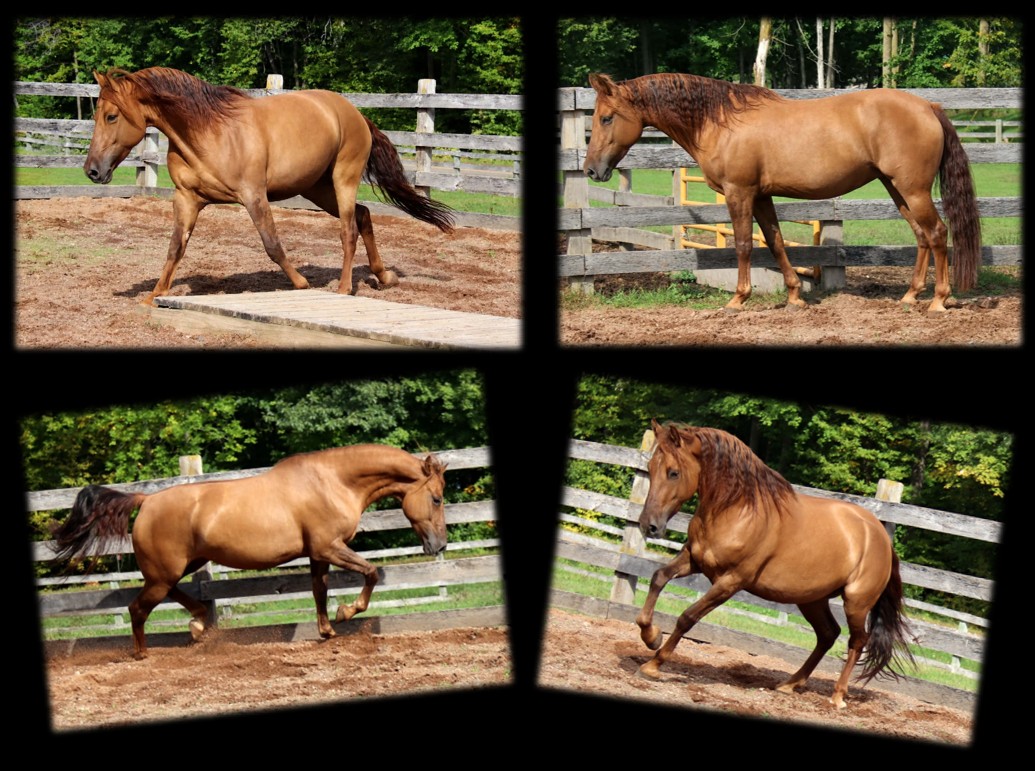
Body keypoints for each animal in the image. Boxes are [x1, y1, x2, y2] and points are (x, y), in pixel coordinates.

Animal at [51, 444, 449, 659]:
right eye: (436, 498)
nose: (440, 544)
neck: (332, 482)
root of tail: (145, 500)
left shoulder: (318, 554)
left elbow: (319, 590)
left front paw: (327, 630)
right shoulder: (330, 547)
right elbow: (370, 572)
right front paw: (345, 613)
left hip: (179, 567)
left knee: (174, 595)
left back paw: (199, 623)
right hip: (165, 571)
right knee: (138, 608)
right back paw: (143, 652)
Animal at [83, 67, 456, 304]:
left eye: (111, 116)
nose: (92, 171)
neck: (208, 133)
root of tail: (354, 113)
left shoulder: (253, 196)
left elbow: (272, 245)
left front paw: (301, 284)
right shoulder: (187, 199)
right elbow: (176, 247)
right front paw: (154, 295)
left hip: (342, 180)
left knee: (349, 229)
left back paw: (344, 288)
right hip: (317, 188)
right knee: (363, 216)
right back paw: (384, 276)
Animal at [584, 72, 981, 313]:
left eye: (606, 118)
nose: (590, 170)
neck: (720, 122)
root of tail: (928, 106)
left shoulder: (739, 193)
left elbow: (744, 244)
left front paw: (738, 299)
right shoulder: (761, 196)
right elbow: (774, 242)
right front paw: (793, 296)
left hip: (912, 190)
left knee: (937, 233)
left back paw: (938, 300)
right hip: (896, 189)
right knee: (921, 236)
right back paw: (911, 295)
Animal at [634, 420, 914, 709]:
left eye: (673, 473)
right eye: (650, 468)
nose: (648, 525)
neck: (737, 511)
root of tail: (880, 536)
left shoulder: (731, 581)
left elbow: (687, 617)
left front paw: (653, 665)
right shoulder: (694, 560)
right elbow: (658, 577)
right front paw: (651, 637)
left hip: (856, 603)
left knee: (857, 641)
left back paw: (837, 697)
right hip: (812, 599)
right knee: (828, 634)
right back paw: (789, 684)